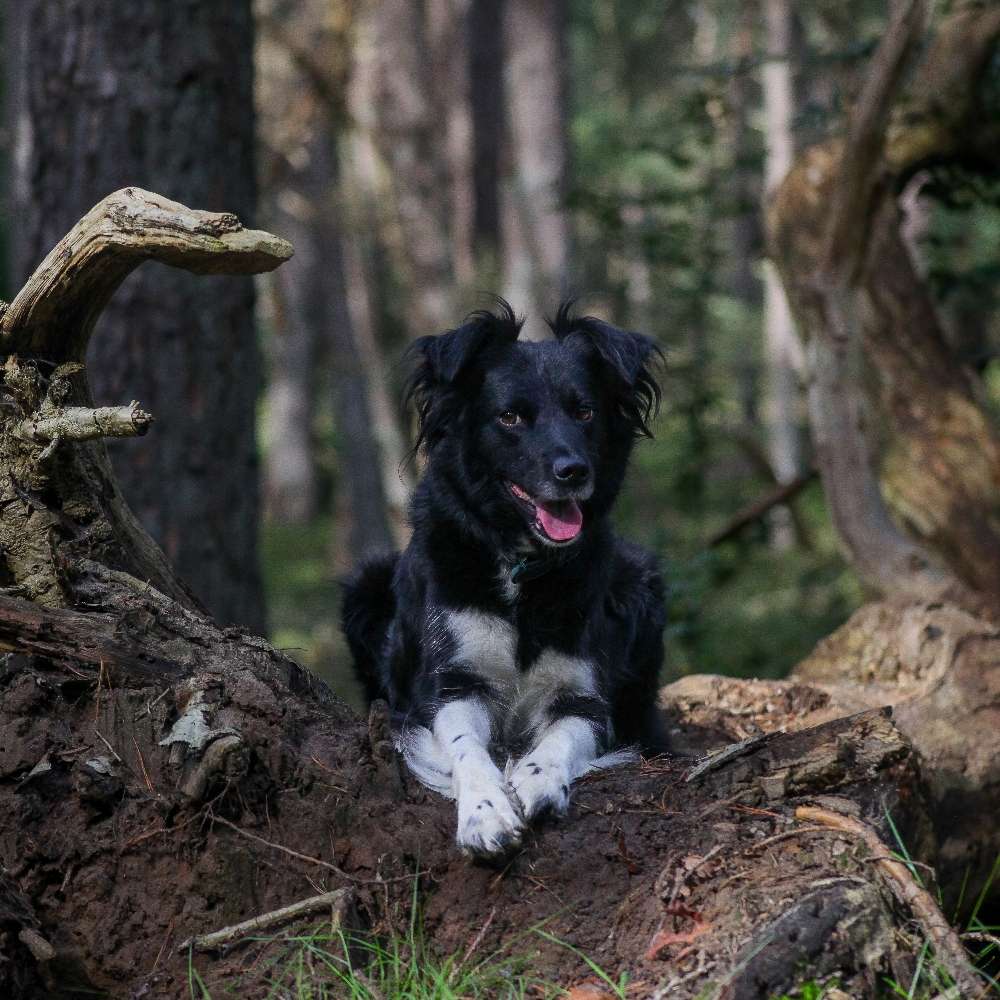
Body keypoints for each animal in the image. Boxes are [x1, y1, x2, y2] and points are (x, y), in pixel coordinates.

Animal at [340, 300, 668, 856]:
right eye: (510, 417)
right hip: (366, 585)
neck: (521, 568)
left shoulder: (586, 697)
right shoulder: (449, 686)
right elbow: (466, 749)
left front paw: (537, 778)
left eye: (585, 412)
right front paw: (485, 813)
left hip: (641, 582)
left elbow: (561, 738)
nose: (573, 471)